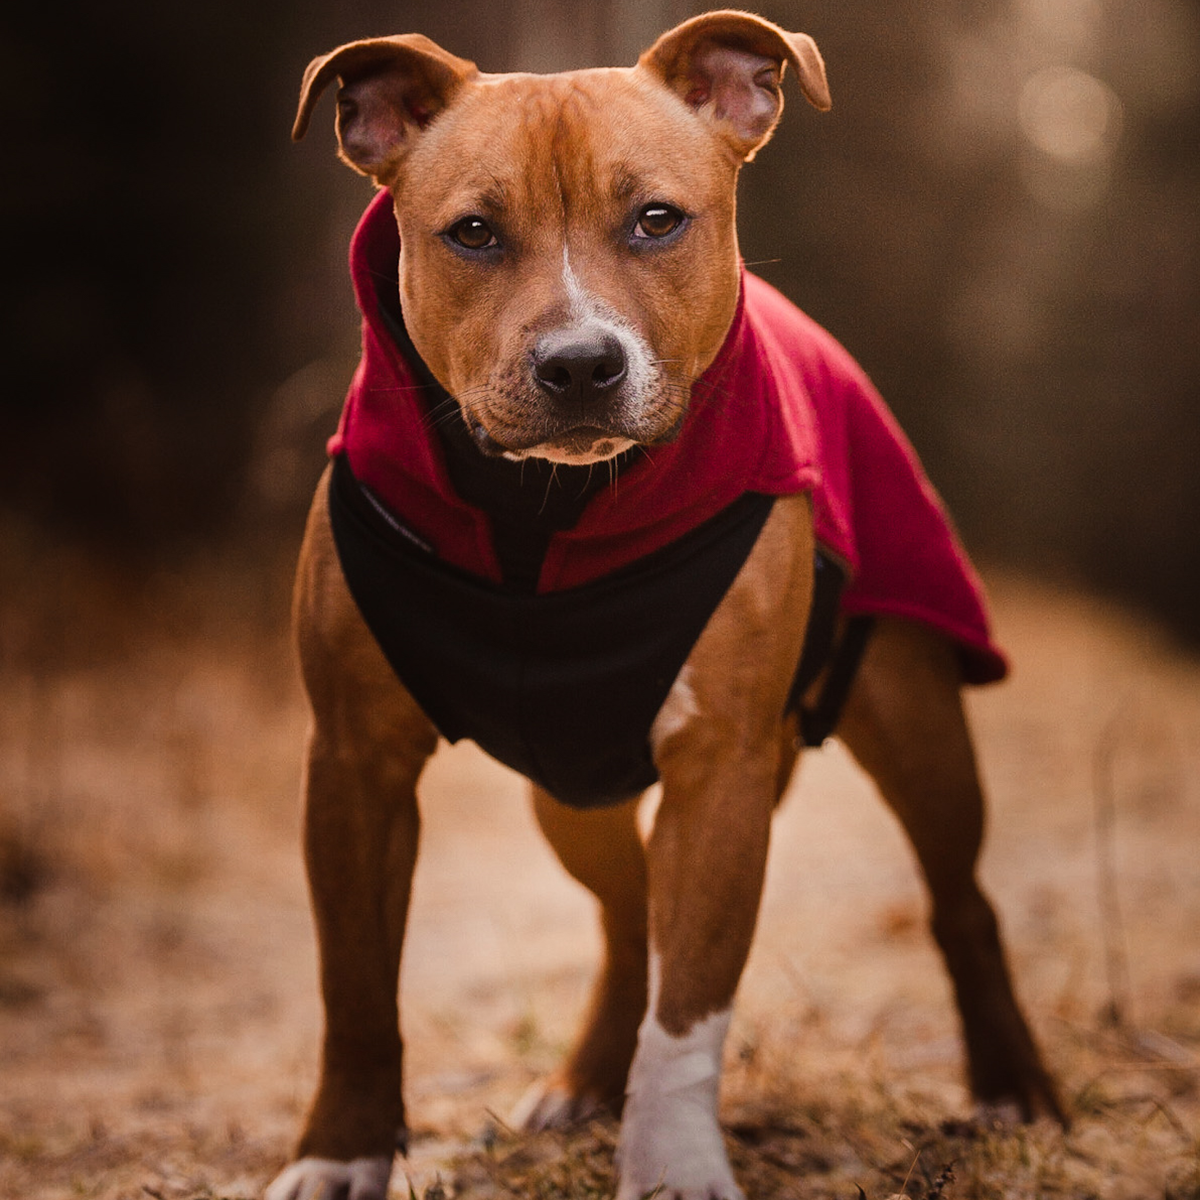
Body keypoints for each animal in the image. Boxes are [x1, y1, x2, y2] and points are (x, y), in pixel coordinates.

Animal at [270, 11, 1060, 1200]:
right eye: (472, 234)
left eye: (656, 220)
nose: (579, 363)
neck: (537, 518)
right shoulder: (355, 761)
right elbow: (354, 984)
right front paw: (341, 1151)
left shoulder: (720, 764)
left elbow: (691, 1007)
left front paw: (674, 1160)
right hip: (568, 789)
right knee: (629, 909)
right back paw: (587, 1080)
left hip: (915, 715)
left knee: (961, 899)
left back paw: (1015, 1085)